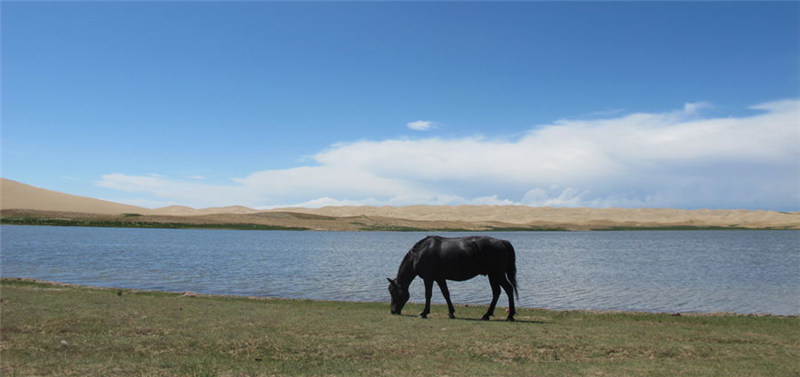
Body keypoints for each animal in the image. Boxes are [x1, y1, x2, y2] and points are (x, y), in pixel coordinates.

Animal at [388, 235, 520, 320]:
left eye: (394, 292)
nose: (393, 311)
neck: (420, 253)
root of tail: (502, 242)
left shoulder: (428, 278)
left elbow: (428, 295)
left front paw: (424, 313)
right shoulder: (440, 278)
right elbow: (446, 294)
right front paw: (451, 313)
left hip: (497, 274)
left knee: (508, 289)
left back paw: (509, 316)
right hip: (493, 276)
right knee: (497, 292)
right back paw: (487, 315)